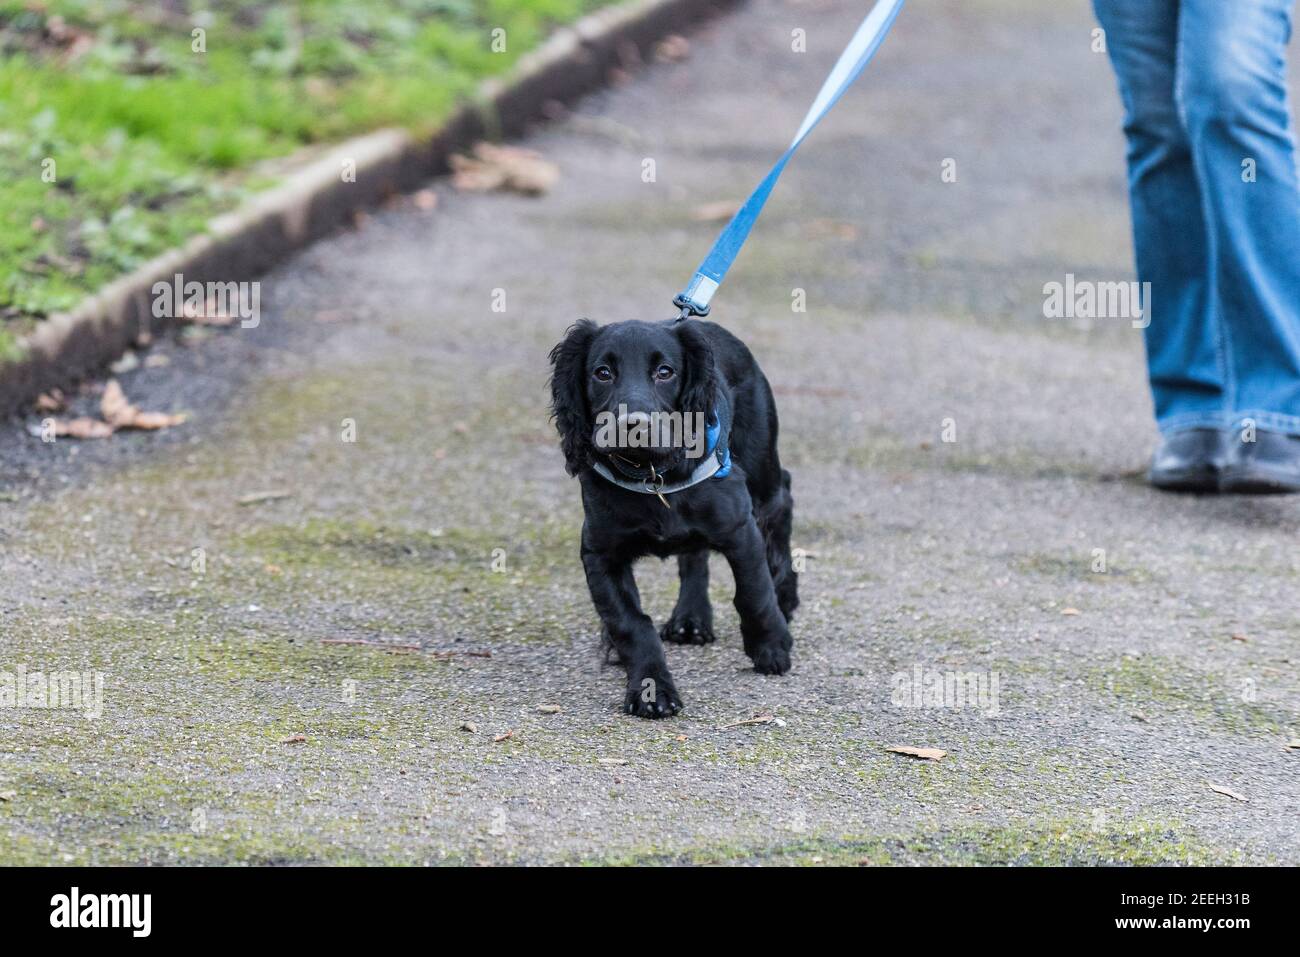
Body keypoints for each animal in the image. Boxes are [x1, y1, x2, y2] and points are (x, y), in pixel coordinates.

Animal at [546, 319, 795, 717]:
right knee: (694, 554)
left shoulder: (739, 528)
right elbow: (631, 622)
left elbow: (753, 593)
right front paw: (652, 689)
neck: (651, 473)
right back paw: (689, 620)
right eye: (602, 373)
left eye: (665, 372)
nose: (633, 424)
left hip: (762, 470)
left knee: (783, 499)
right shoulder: (600, 553)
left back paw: (786, 596)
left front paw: (771, 646)